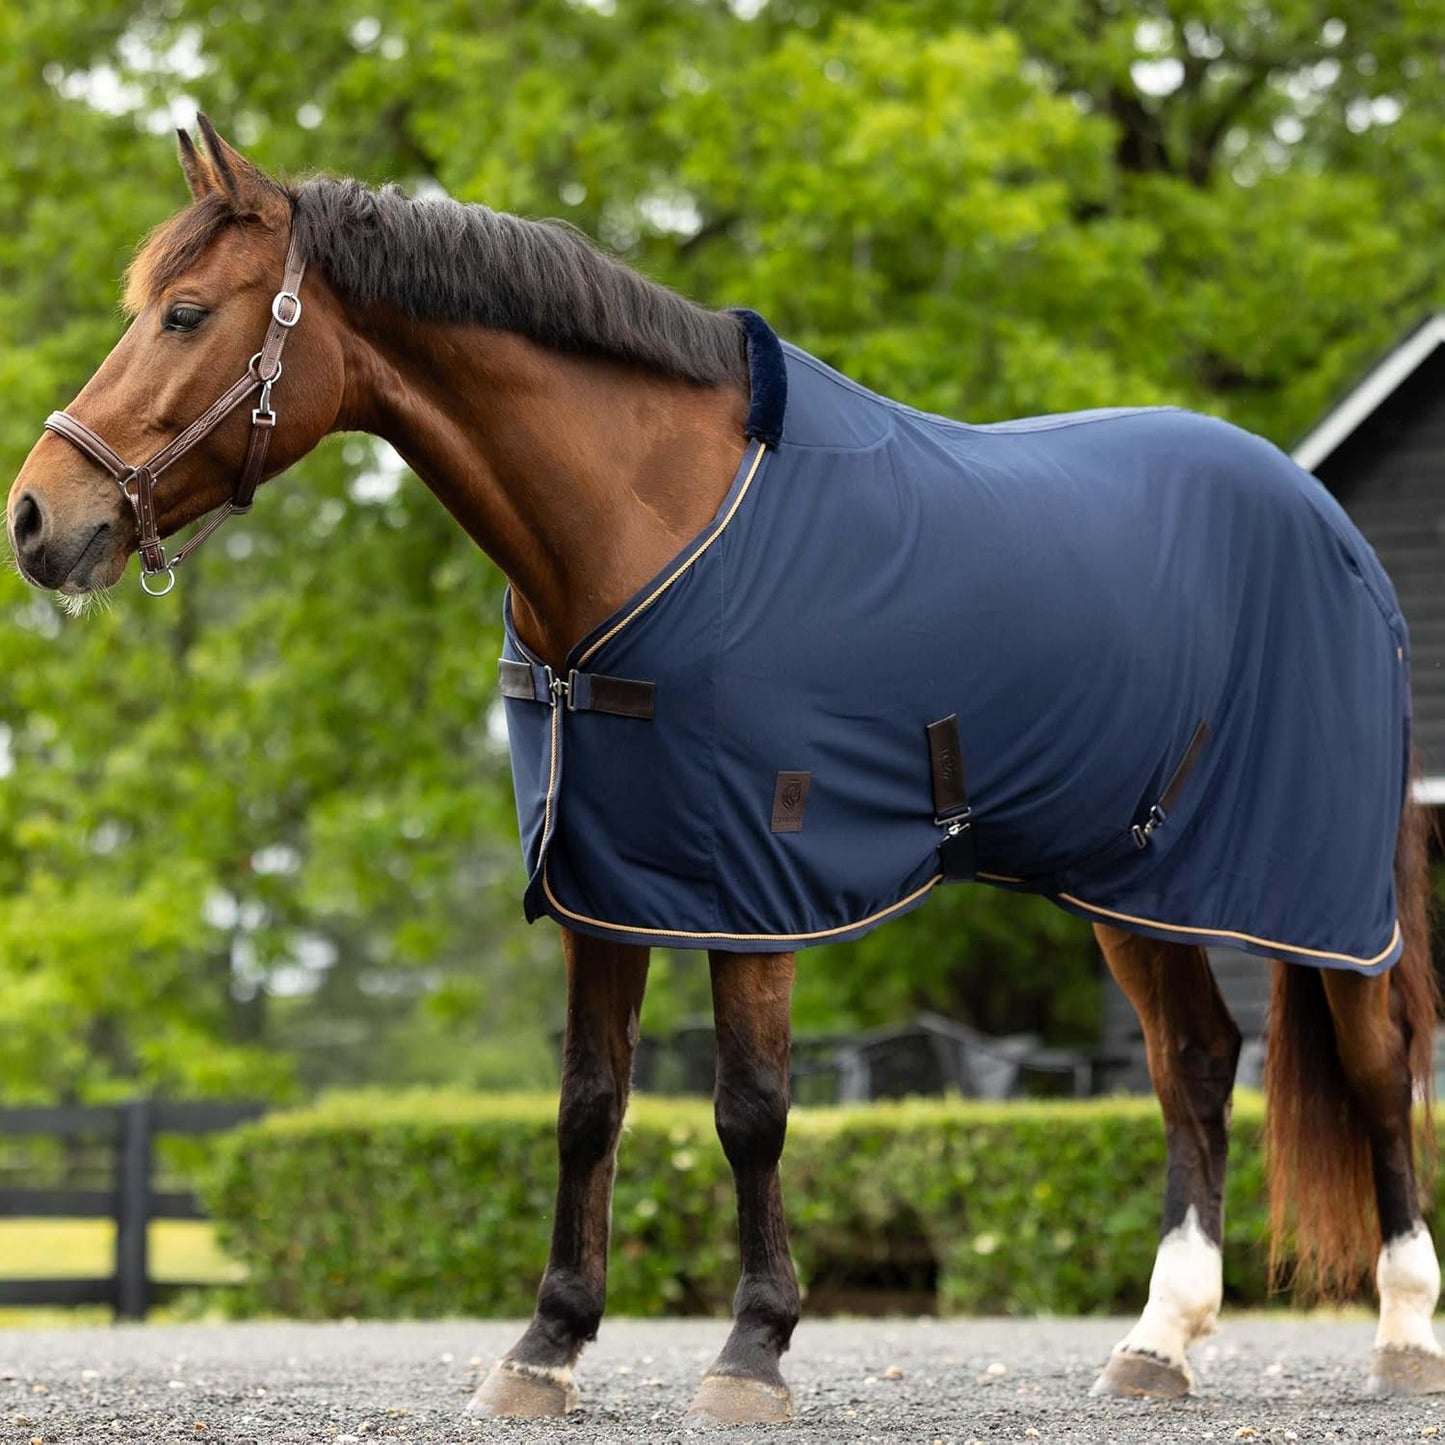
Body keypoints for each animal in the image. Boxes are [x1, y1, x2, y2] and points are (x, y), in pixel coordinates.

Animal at [8, 118, 1442, 1423]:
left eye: (186, 312)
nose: (35, 518)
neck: (643, 528)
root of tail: (1328, 526)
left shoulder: (756, 882)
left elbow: (749, 1109)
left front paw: (753, 1348)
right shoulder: (603, 879)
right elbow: (588, 1104)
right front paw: (546, 1344)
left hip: (1321, 882)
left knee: (1377, 1062)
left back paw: (1401, 1329)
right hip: (1132, 878)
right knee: (1195, 1059)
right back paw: (1161, 1340)